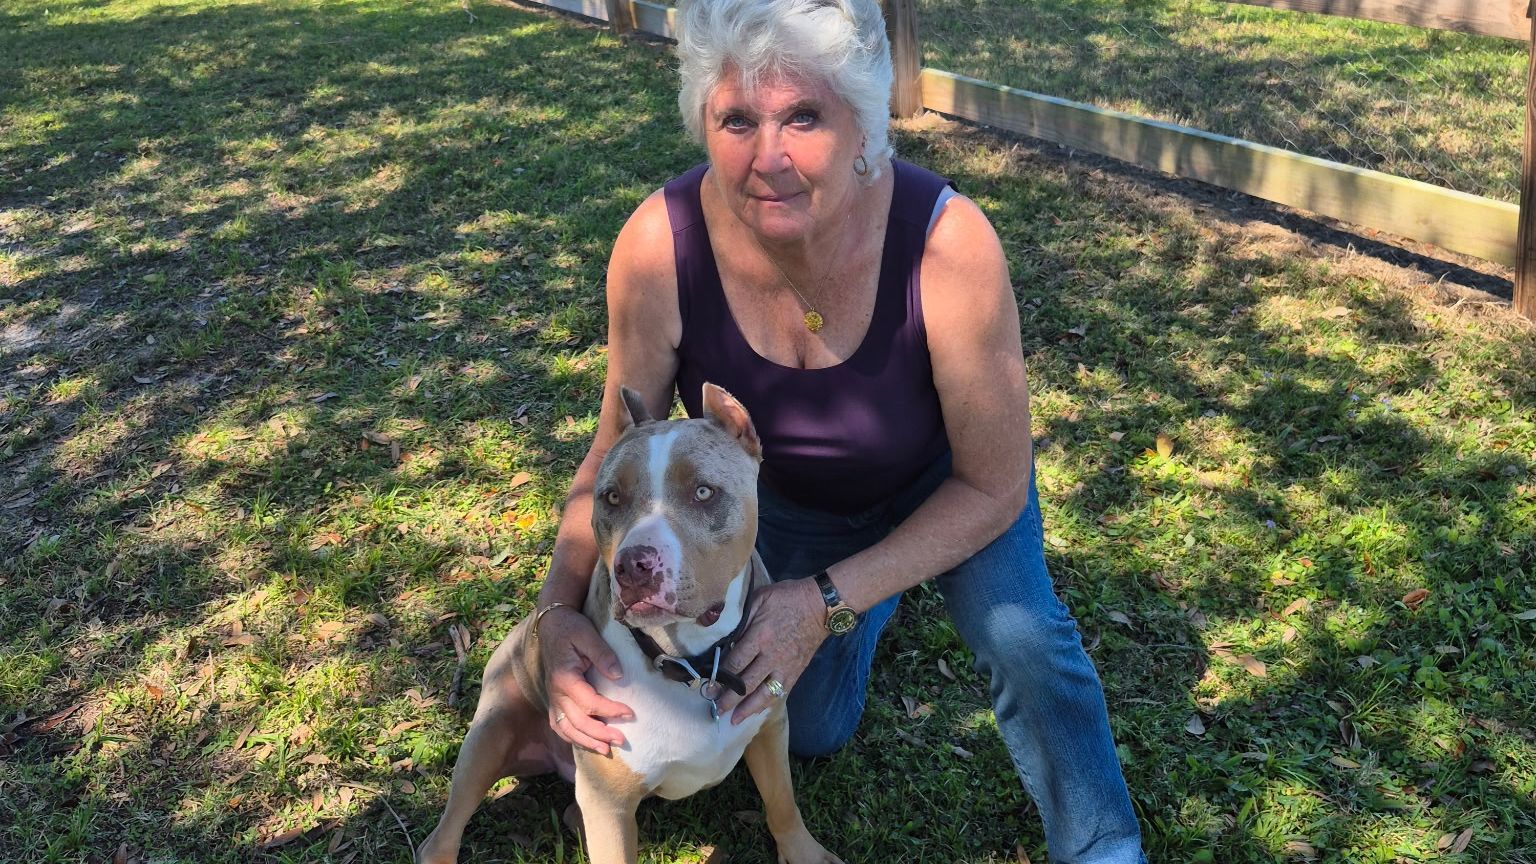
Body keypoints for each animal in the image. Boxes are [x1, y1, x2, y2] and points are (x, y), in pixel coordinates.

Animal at [417, 382, 840, 864]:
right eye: (612, 497)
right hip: (491, 732)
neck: (693, 665)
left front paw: (805, 852)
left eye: (703, 492)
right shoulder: (608, 803)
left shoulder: (770, 727)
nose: (633, 566)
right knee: (441, 834)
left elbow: (782, 803)